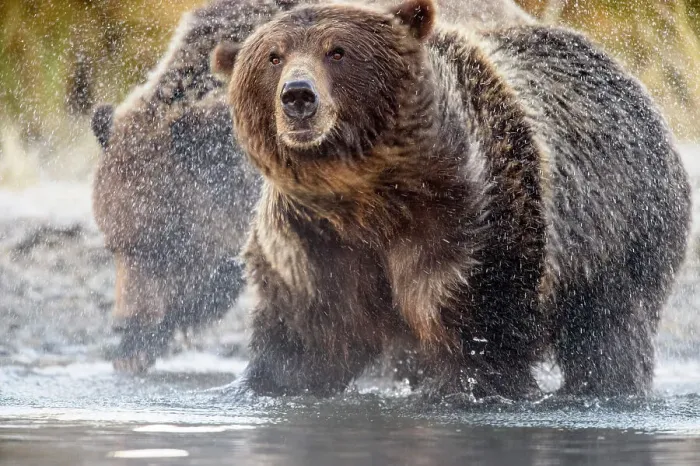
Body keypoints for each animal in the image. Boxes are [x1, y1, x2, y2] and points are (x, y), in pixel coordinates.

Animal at [215, 0, 691, 399]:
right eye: (273, 56)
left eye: (338, 51)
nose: (297, 95)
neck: (373, 196)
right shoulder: (312, 240)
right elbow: (304, 338)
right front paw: (262, 385)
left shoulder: (473, 220)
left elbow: (479, 330)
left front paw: (466, 388)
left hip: (622, 231)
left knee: (609, 333)